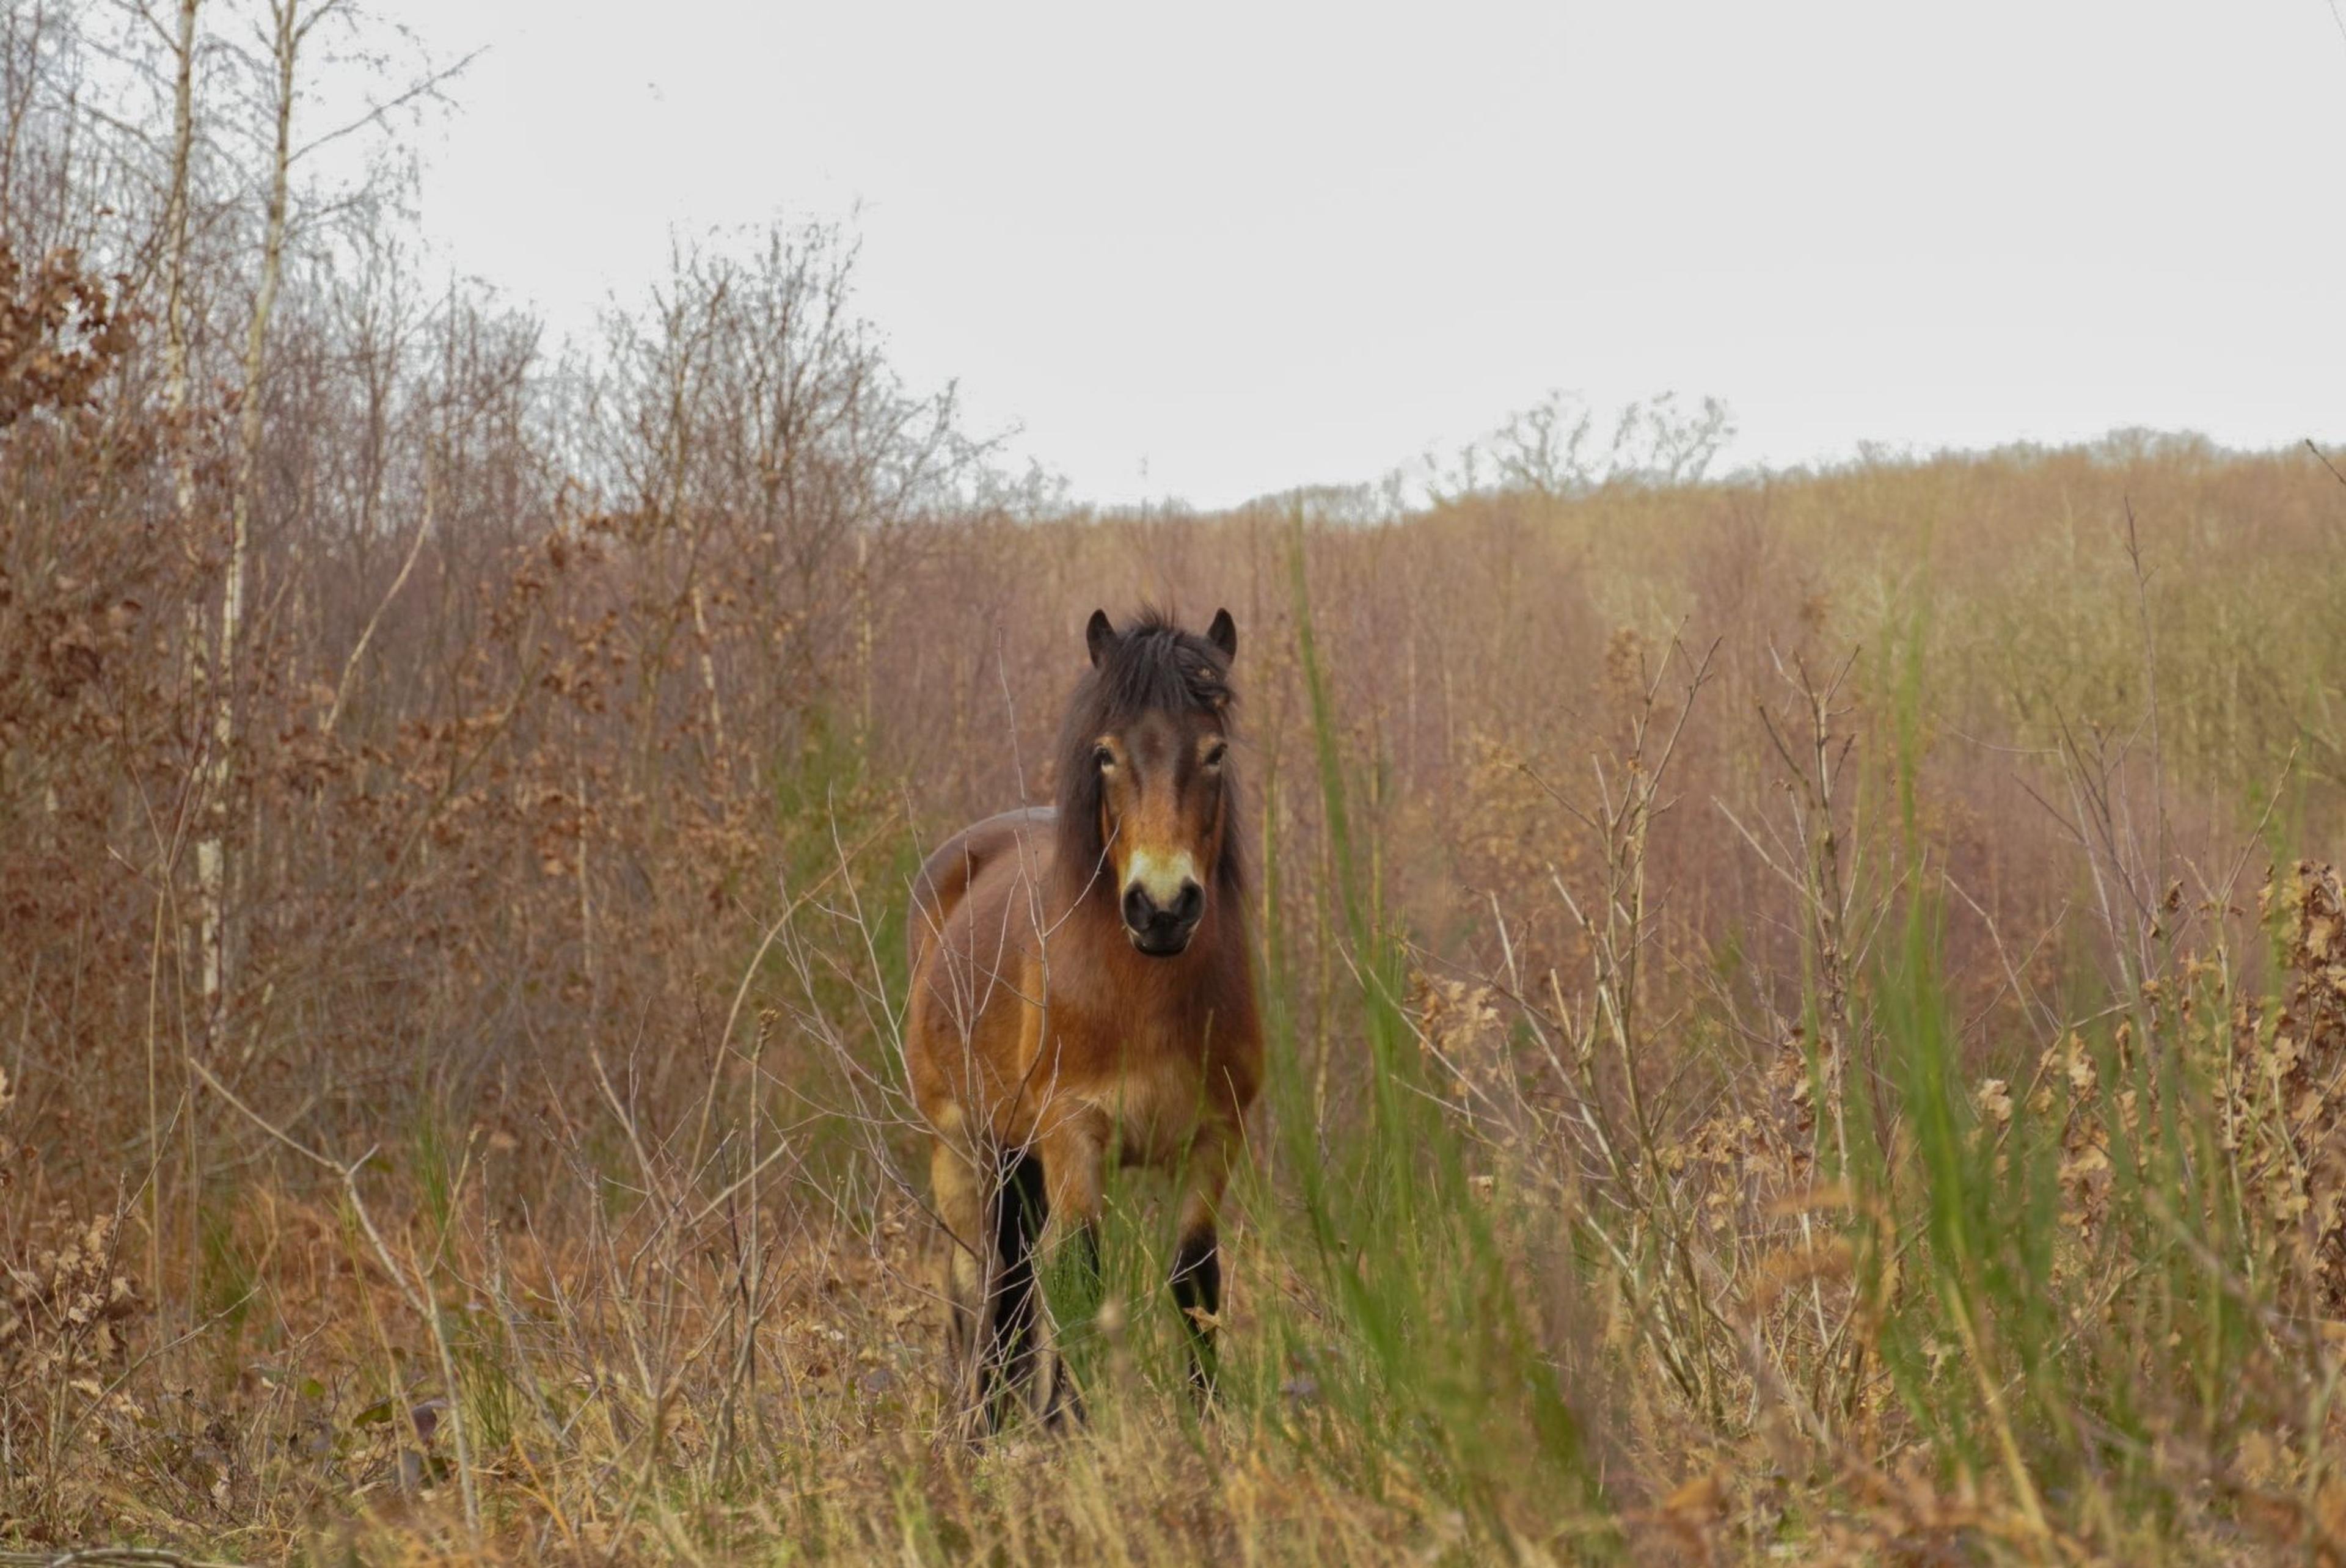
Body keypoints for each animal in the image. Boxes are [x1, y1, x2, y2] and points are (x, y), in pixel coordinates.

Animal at [904, 606, 1260, 1431]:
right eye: (1105, 753)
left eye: (1215, 751)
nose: (1162, 907)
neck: (1143, 993)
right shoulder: (1074, 1137)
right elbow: (1082, 1280)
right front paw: (1082, 1431)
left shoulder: (1213, 1138)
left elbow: (1196, 1282)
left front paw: (1207, 1425)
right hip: (959, 1140)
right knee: (975, 1284)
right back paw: (981, 1424)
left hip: (1014, 1152)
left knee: (1011, 1280)